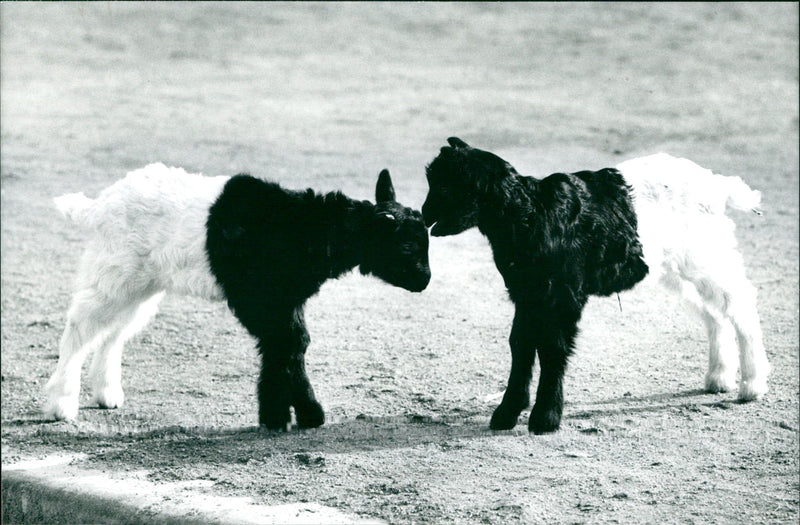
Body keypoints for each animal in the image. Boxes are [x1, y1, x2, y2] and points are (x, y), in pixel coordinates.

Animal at [44, 163, 430, 430]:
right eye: (407, 247)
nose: (425, 280)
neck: (305, 227)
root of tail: (98, 206)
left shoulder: (286, 301)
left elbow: (294, 344)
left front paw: (299, 414)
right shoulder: (260, 300)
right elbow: (284, 345)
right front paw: (279, 417)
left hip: (139, 285)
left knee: (112, 334)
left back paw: (107, 394)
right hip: (113, 273)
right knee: (80, 327)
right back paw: (61, 404)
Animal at [422, 137, 768, 434]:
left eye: (446, 185)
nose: (424, 214)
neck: (532, 213)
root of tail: (716, 184)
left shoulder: (563, 295)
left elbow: (552, 348)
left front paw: (545, 418)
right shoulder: (527, 294)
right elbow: (520, 344)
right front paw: (507, 413)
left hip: (708, 255)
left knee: (741, 303)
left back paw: (752, 386)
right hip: (679, 268)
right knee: (715, 313)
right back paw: (718, 378)